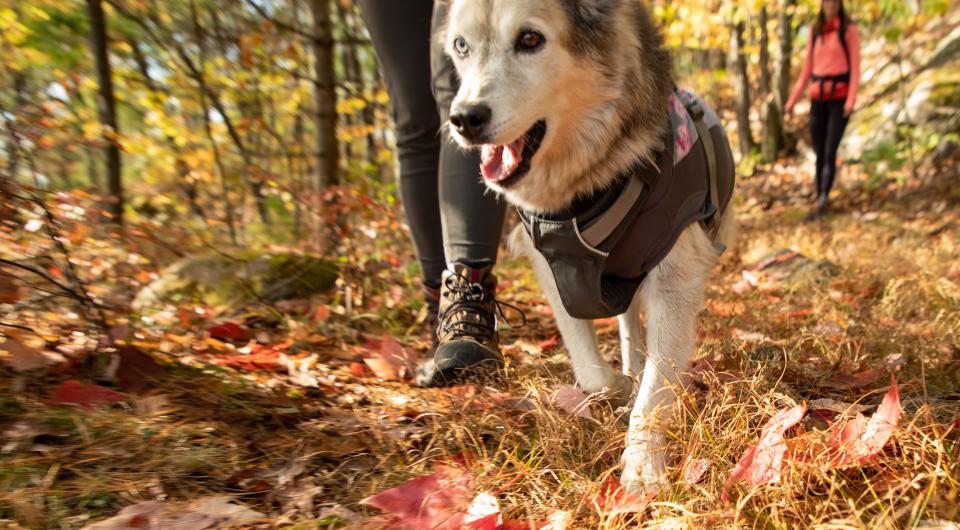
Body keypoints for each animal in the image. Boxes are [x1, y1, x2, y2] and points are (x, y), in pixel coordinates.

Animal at [436, 1, 736, 496]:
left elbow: (656, 385)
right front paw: (614, 387)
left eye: (530, 39)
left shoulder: (676, 278)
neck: (590, 191)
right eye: (461, 46)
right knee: (628, 324)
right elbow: (591, 368)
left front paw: (642, 464)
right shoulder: (553, 269)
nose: (463, 119)